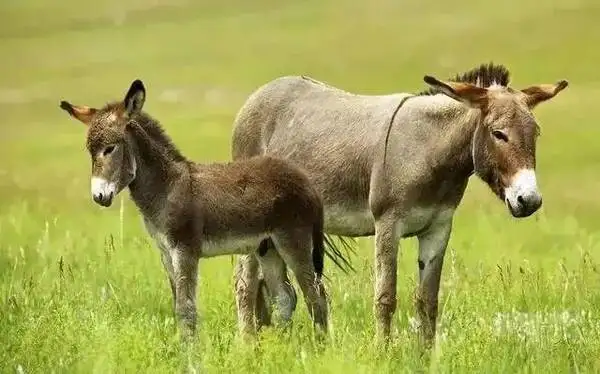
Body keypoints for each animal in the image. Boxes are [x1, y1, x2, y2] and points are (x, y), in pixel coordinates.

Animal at [59, 80, 346, 340]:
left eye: (110, 148)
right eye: (90, 152)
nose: (99, 197)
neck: (168, 187)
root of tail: (305, 181)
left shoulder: (185, 251)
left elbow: (186, 310)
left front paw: (190, 356)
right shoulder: (165, 253)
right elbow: (177, 305)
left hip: (293, 241)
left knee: (316, 296)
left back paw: (320, 349)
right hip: (268, 247)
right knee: (285, 298)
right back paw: (280, 349)